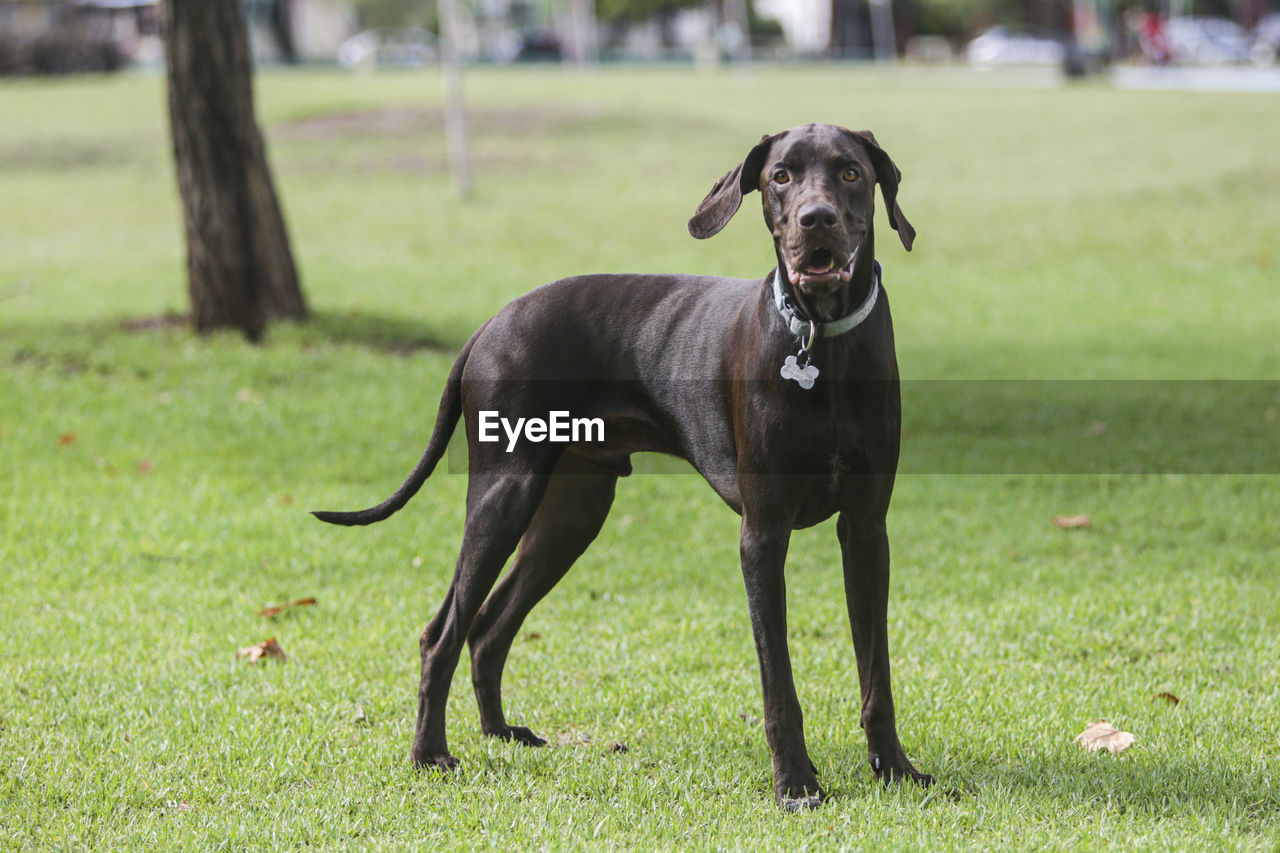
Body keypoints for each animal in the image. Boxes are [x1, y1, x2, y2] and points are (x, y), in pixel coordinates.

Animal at [313, 122, 926, 809]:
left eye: (850, 173)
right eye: (780, 176)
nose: (815, 219)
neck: (823, 344)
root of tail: (491, 323)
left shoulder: (866, 530)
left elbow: (877, 673)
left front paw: (894, 767)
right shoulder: (762, 536)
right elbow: (779, 684)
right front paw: (795, 782)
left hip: (570, 514)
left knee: (488, 626)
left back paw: (501, 733)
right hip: (504, 496)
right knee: (441, 633)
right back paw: (430, 754)